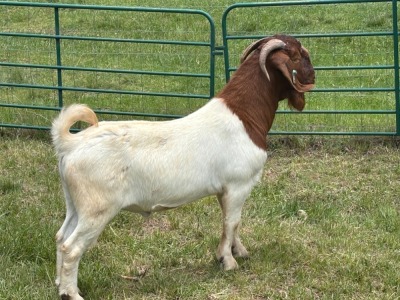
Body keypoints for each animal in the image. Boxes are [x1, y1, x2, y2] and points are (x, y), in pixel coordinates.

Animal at [51, 34, 314, 298]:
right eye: (300, 55)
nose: (314, 76)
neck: (244, 117)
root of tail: (70, 144)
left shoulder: (225, 190)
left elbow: (232, 222)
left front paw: (238, 251)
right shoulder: (238, 185)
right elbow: (231, 222)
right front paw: (228, 261)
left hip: (76, 203)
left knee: (61, 236)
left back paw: (59, 283)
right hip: (97, 208)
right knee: (71, 247)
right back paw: (72, 293)